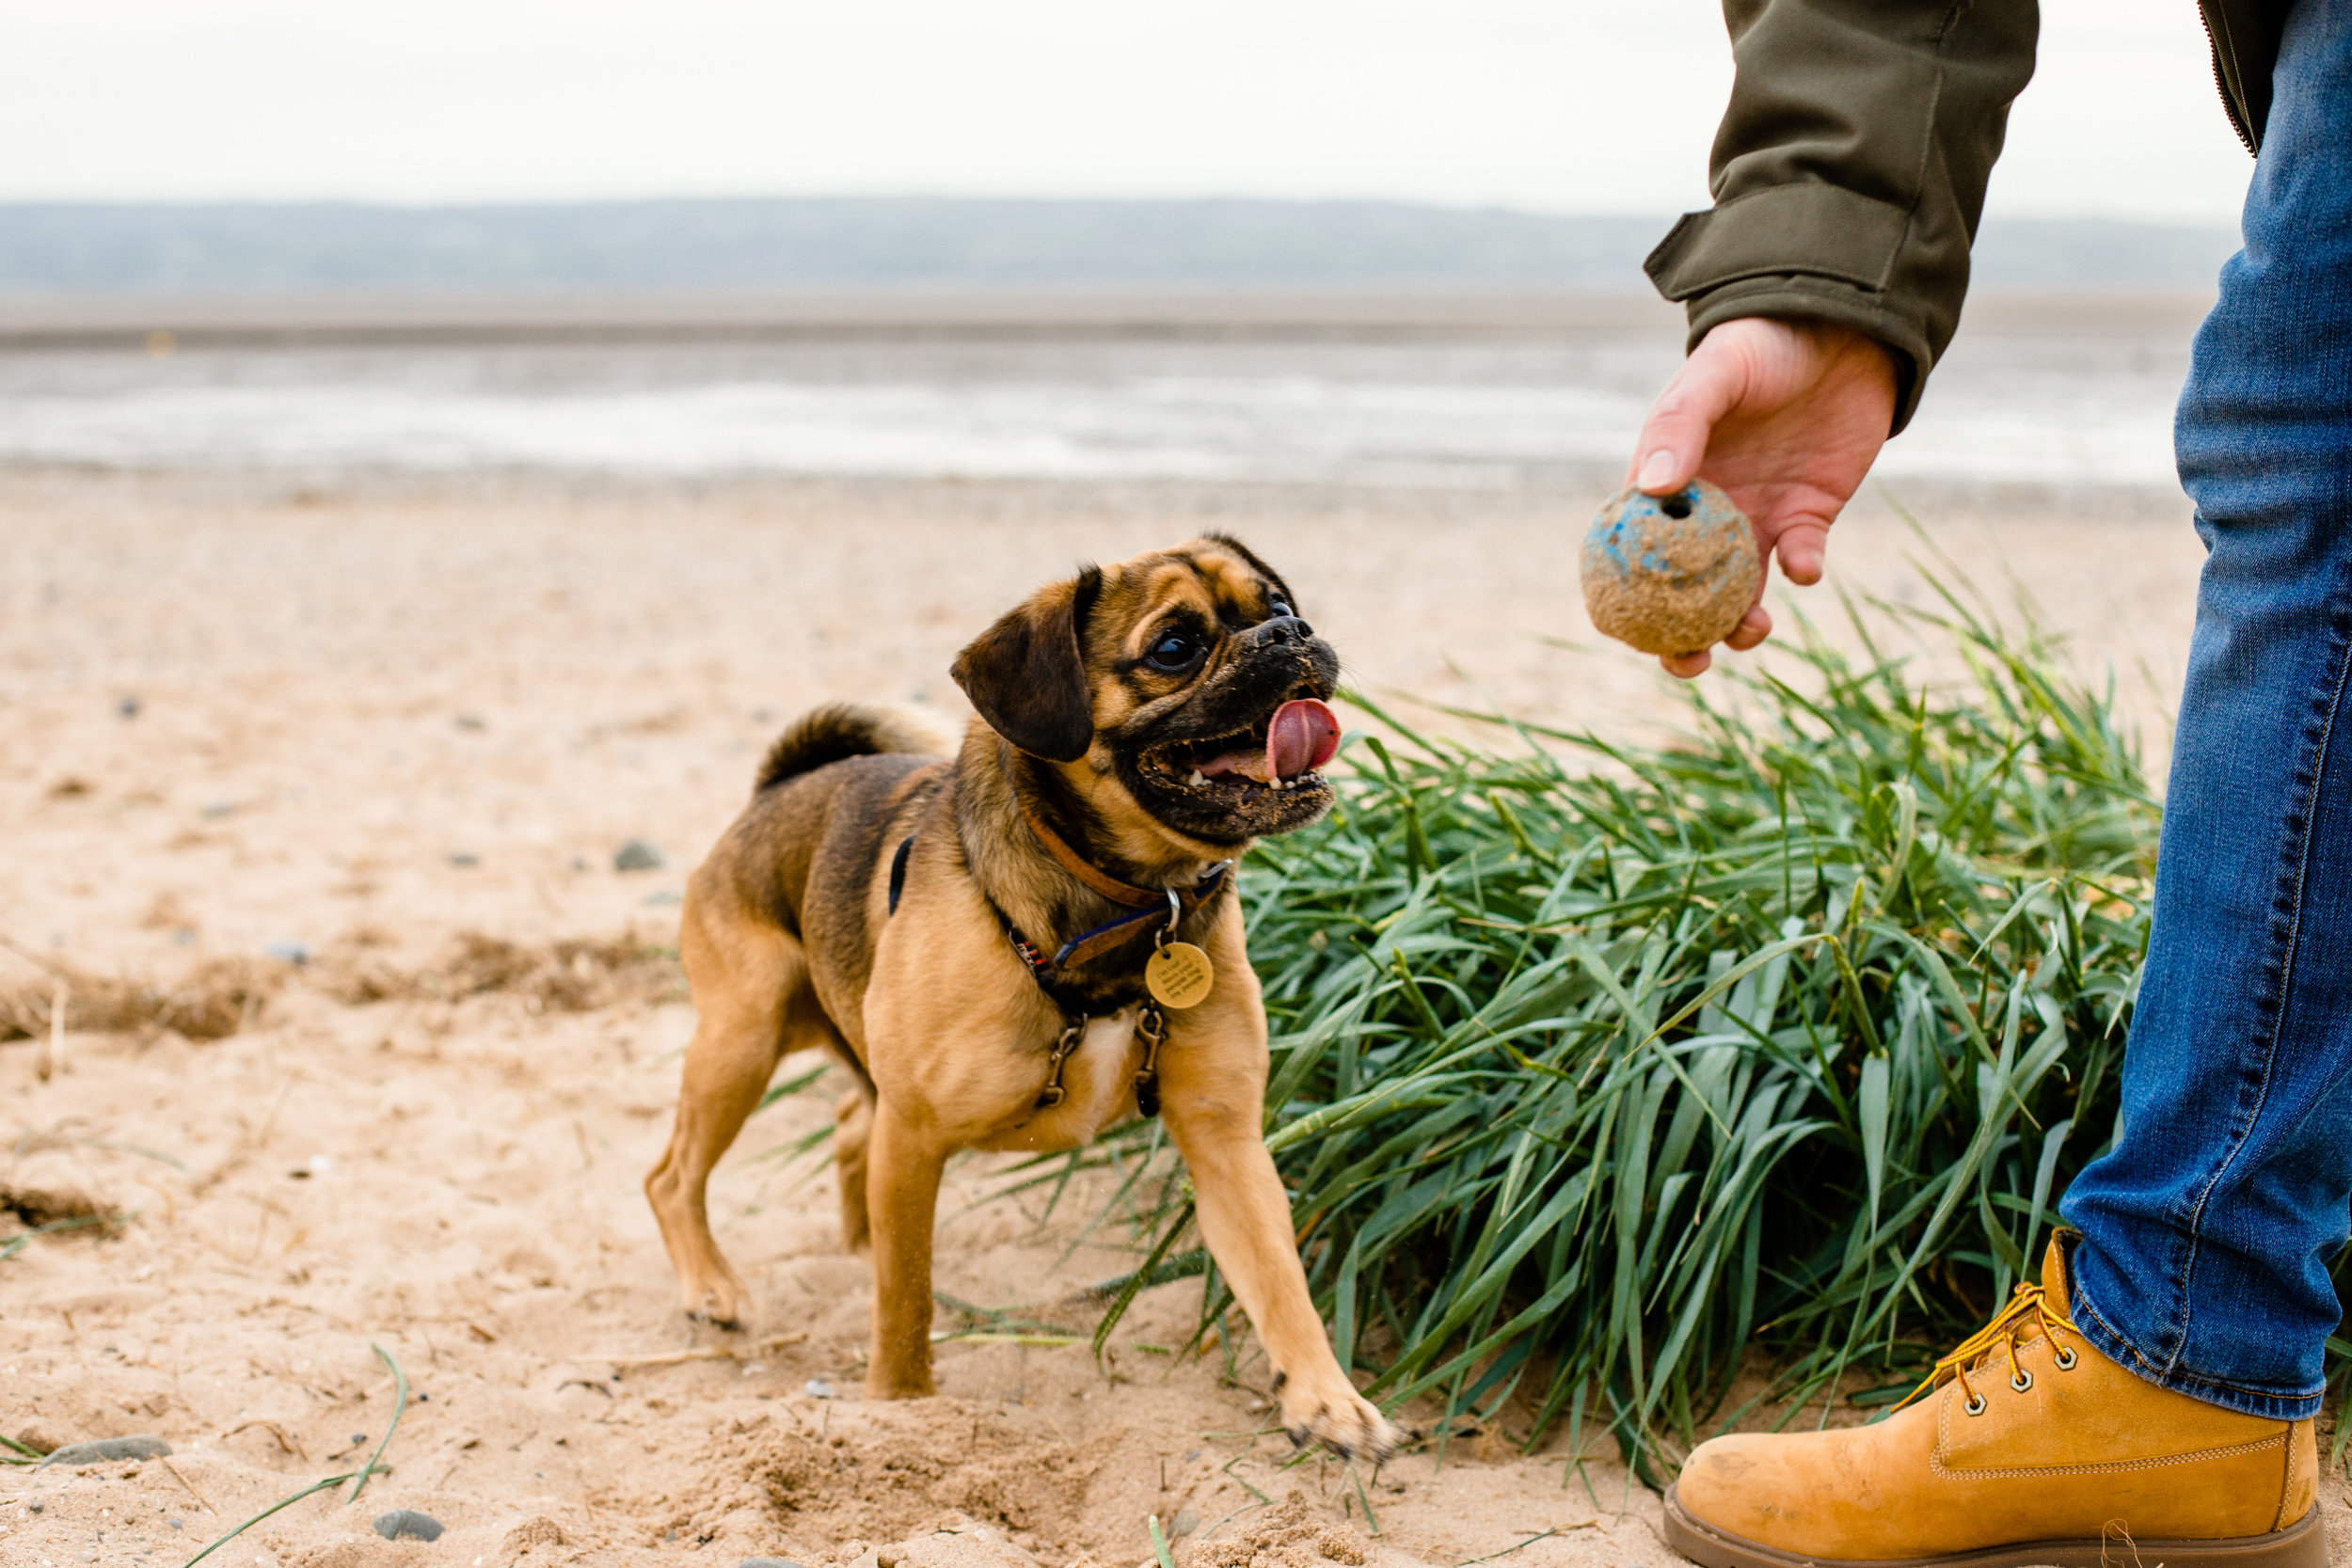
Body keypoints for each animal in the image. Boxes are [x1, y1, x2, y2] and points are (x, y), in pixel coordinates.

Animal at [644, 535, 1402, 1457]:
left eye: (1281, 604)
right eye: (1175, 648)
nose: (1290, 633)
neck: (1131, 908)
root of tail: (775, 792)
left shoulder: (1226, 1138)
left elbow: (1277, 1274)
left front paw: (1325, 1398)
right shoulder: (916, 1132)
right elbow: (905, 1306)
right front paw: (899, 1411)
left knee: (851, 1130)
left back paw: (856, 1243)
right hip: (743, 1040)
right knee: (673, 1176)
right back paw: (712, 1285)